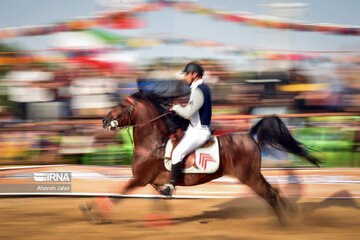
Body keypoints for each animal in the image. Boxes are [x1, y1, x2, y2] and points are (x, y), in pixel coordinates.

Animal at [81, 90, 320, 223]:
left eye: (121, 105)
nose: (103, 120)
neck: (153, 144)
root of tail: (250, 135)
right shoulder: (151, 182)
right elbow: (158, 199)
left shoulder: (138, 179)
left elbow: (117, 193)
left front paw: (92, 211)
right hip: (253, 175)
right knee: (275, 191)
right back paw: (291, 212)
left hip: (249, 176)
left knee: (269, 194)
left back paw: (283, 223)